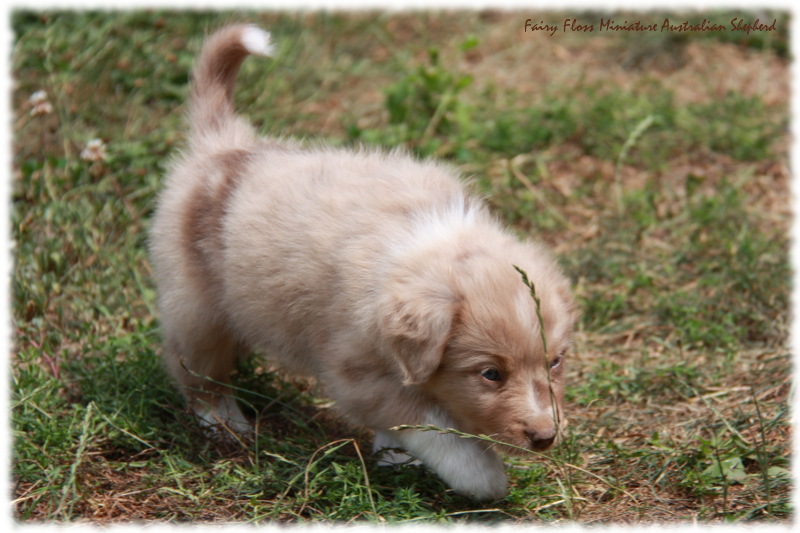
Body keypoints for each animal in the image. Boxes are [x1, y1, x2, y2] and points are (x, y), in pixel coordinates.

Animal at [150, 23, 576, 498]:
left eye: (555, 362)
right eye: (490, 374)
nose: (545, 437)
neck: (421, 244)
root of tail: (227, 144)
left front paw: (395, 457)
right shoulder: (356, 372)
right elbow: (429, 424)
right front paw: (482, 477)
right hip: (196, 308)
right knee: (197, 371)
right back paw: (225, 422)